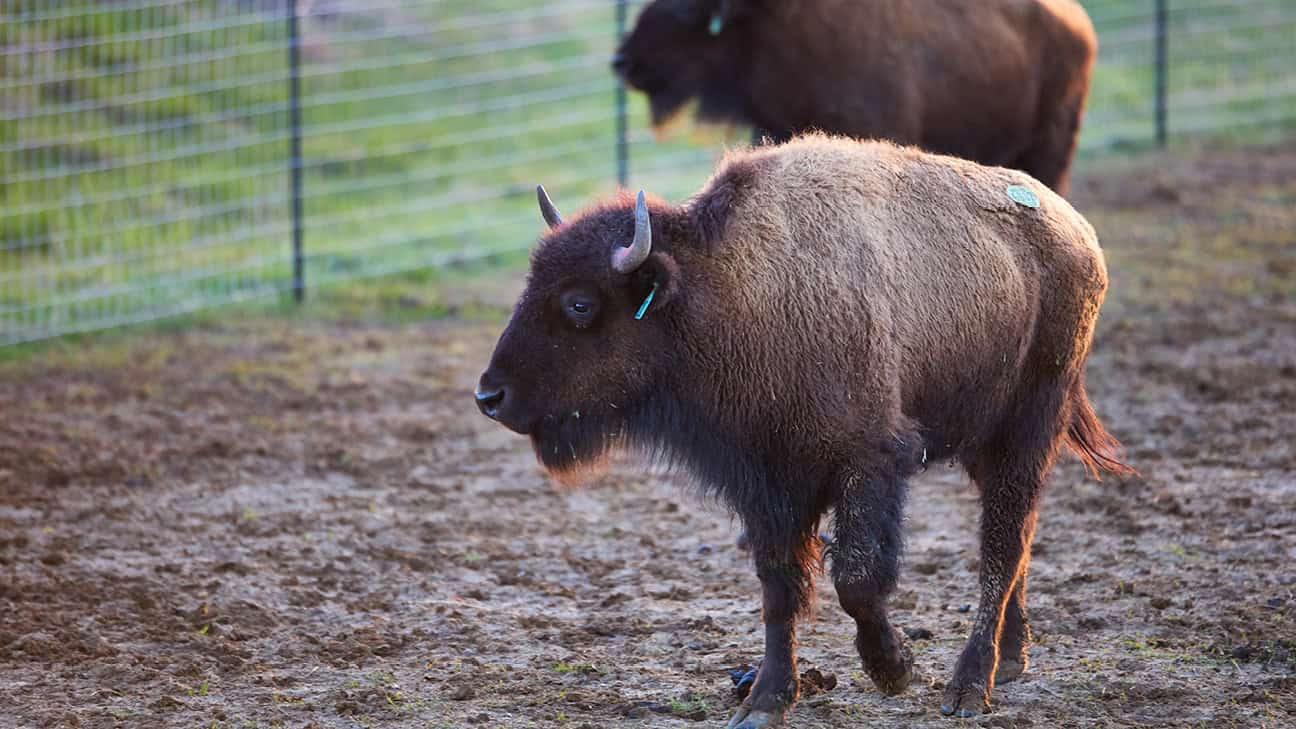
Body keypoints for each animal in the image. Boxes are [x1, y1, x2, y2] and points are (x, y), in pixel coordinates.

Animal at [475, 134, 1131, 726]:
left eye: (580, 304)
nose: (489, 396)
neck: (726, 289)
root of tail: (1078, 231)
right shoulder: (766, 484)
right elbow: (780, 588)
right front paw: (765, 702)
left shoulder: (868, 461)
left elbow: (856, 579)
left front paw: (895, 670)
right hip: (983, 440)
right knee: (1018, 535)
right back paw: (1011, 659)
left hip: (1030, 424)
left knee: (1003, 540)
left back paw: (969, 688)